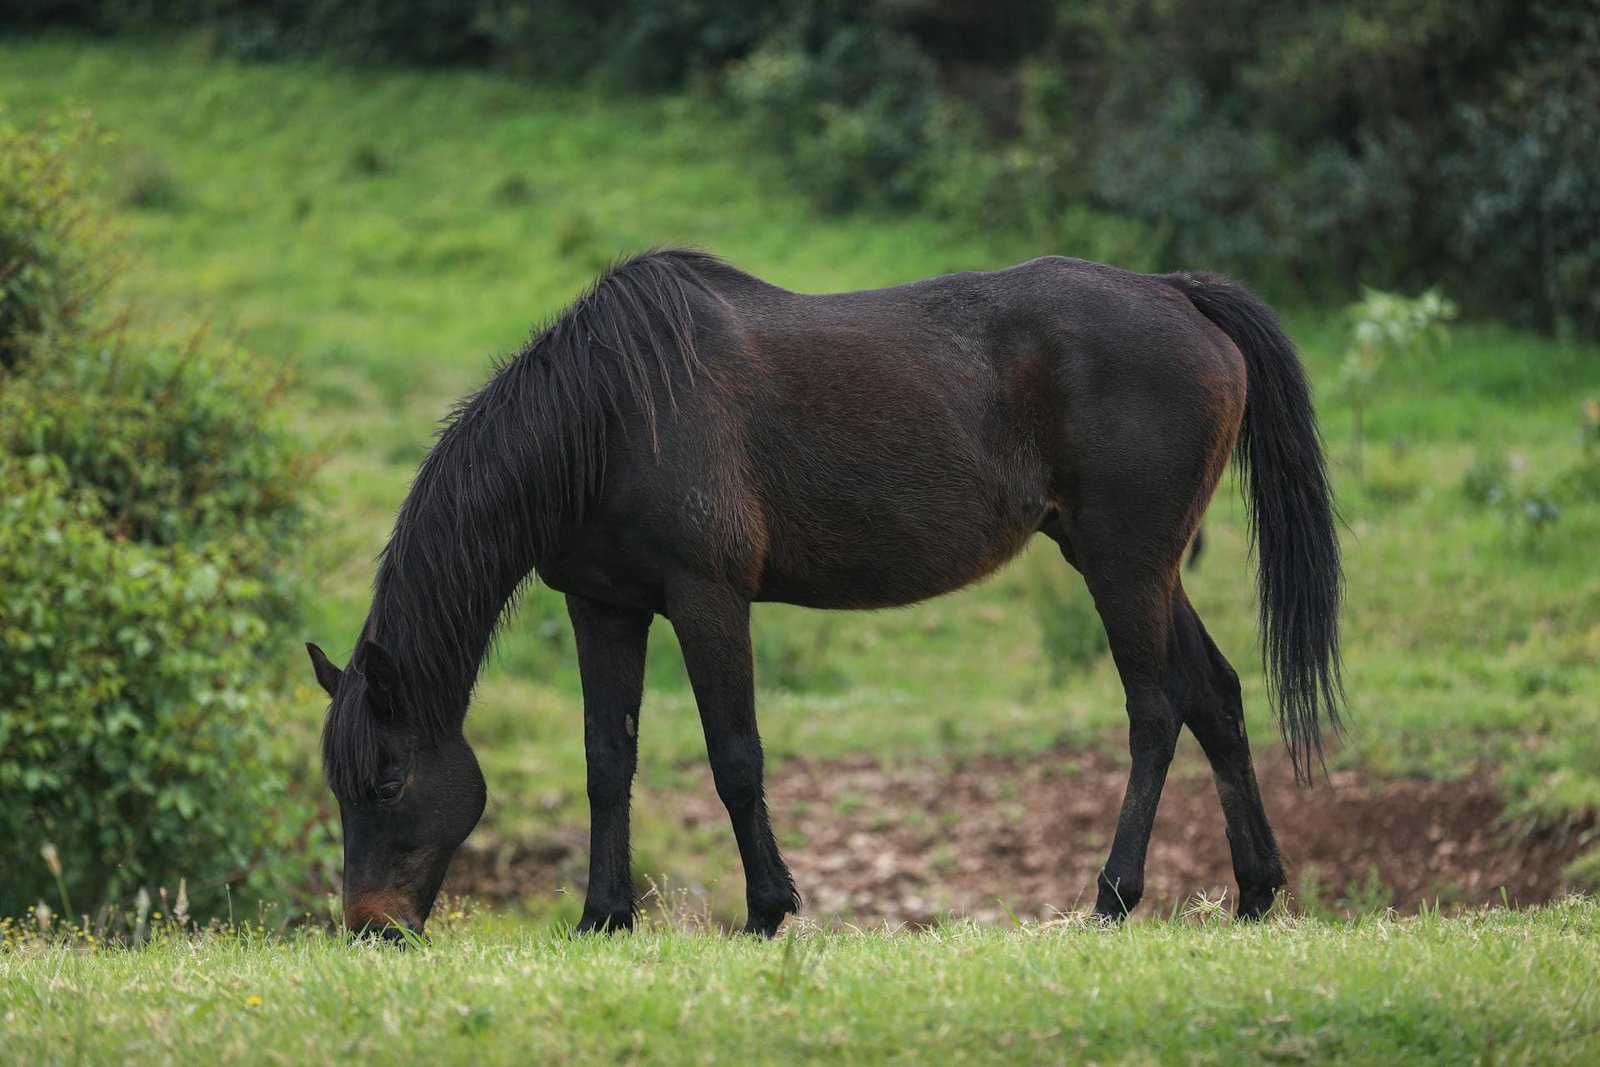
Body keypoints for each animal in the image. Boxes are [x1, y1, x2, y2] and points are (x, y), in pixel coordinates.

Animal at [305, 251, 1344, 940]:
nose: (370, 925)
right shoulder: (605, 606)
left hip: (1126, 566)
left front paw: (769, 910)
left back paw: (1114, 895)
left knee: (1155, 708)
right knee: (1216, 696)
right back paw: (1257, 891)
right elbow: (608, 760)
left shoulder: (707, 597)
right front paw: (604, 917)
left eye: (386, 778)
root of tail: (1179, 292)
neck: (609, 415)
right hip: (1131, 564)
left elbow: (735, 758)